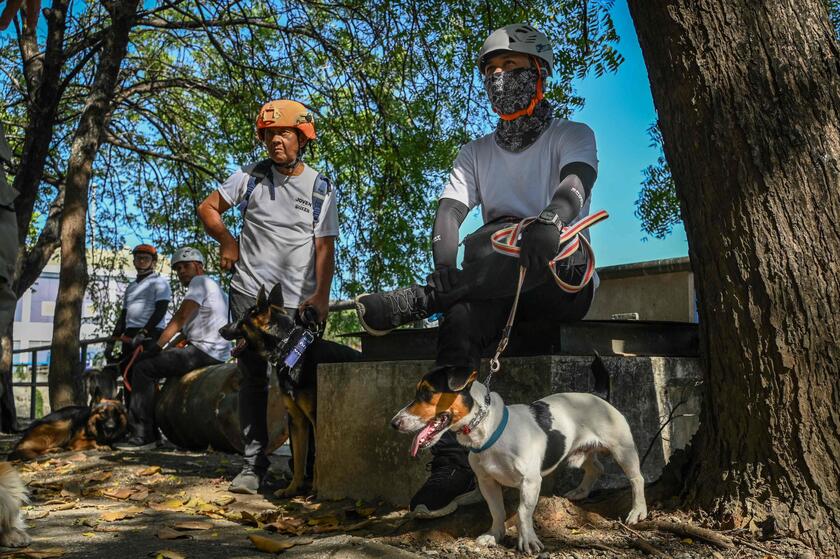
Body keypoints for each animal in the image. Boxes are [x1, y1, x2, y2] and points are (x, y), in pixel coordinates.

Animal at [218, 284, 360, 498]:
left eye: (241, 319)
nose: (220, 329)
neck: (292, 350)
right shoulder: (297, 421)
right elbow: (300, 460)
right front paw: (292, 489)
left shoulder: (316, 418)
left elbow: (317, 458)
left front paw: (316, 490)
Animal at [390, 368, 648, 556]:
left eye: (426, 392)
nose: (394, 423)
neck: (489, 431)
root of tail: (598, 396)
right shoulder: (487, 482)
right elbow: (496, 510)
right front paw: (494, 534)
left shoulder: (531, 481)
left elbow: (524, 511)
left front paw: (528, 541)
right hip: (578, 453)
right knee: (596, 467)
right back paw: (581, 491)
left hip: (622, 449)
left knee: (637, 479)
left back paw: (638, 511)